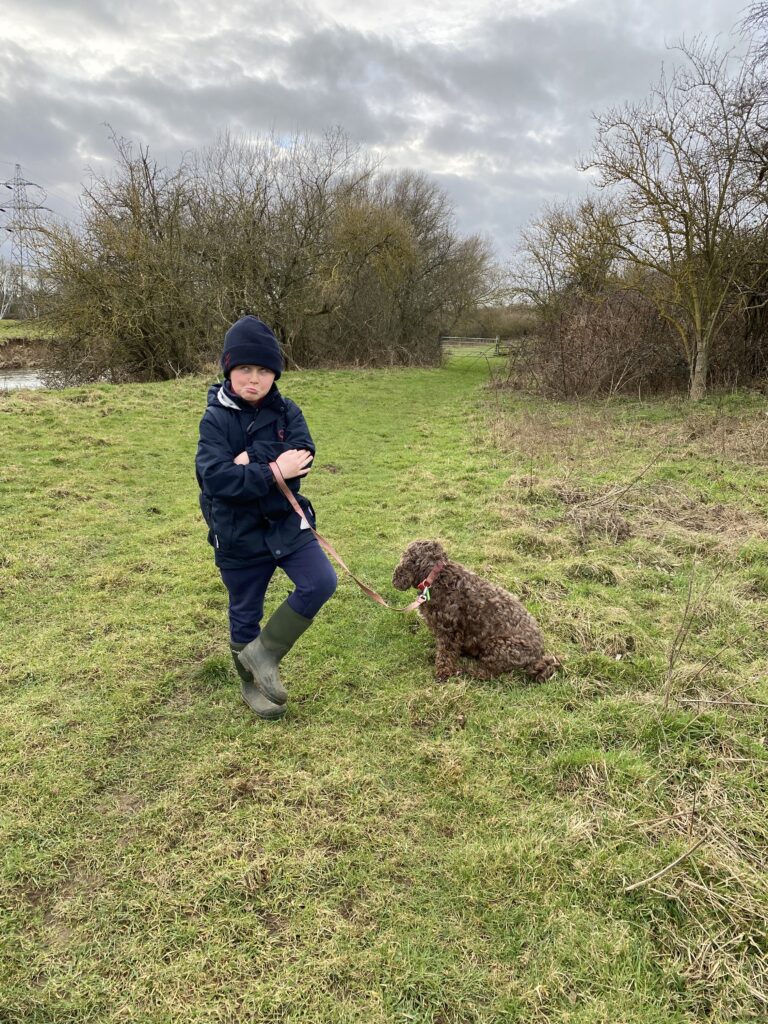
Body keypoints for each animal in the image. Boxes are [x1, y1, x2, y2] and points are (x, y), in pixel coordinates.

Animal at [397, 540, 561, 684]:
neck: (437, 576)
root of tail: (538, 656)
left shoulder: (449, 631)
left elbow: (445, 654)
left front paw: (443, 673)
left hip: (496, 647)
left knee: (489, 673)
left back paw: (467, 671)